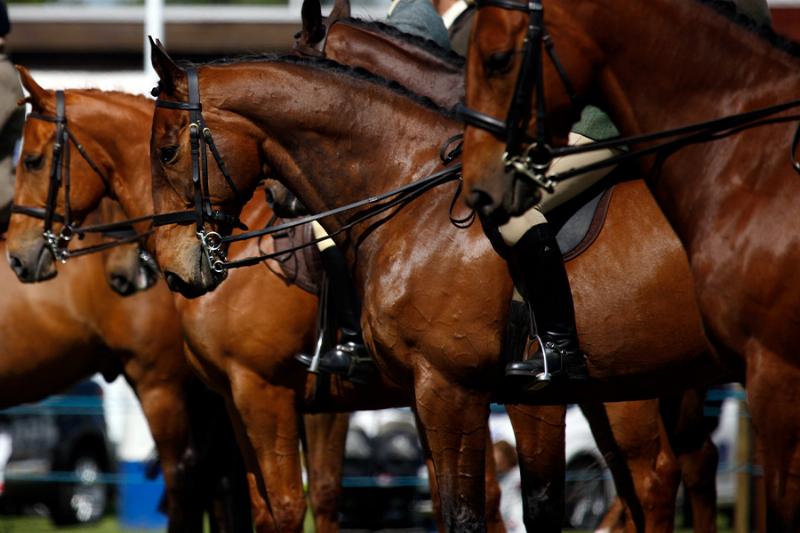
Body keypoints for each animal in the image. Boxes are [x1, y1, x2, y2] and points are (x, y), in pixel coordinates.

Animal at [148, 42, 732, 531]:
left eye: (169, 151)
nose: (175, 267)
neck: (412, 198)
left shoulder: (444, 391)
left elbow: (463, 513)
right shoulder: (428, 395)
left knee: (655, 478)